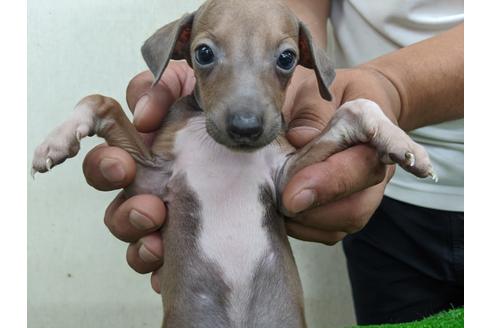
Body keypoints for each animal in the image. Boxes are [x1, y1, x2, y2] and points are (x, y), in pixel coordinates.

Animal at [32, 0, 436, 328]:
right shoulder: (151, 179)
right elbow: (99, 100)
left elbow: (358, 106)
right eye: (203, 53)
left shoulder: (285, 180)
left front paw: (402, 143)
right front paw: (55, 140)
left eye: (287, 58)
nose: (246, 127)